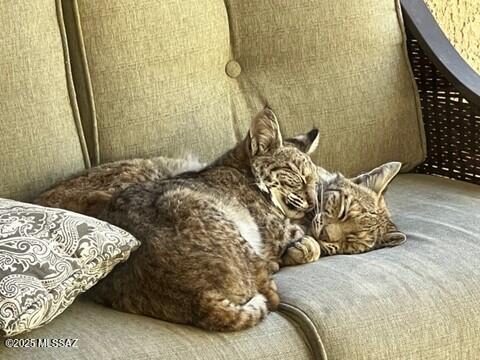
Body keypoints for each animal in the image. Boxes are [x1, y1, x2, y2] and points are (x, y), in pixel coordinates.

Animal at [85, 109, 320, 332]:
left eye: (315, 181)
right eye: (297, 177)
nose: (313, 204)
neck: (239, 167)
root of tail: (199, 300)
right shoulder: (278, 230)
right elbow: (312, 242)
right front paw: (303, 247)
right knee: (269, 293)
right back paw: (273, 265)